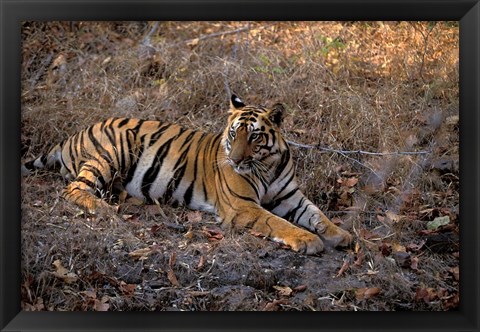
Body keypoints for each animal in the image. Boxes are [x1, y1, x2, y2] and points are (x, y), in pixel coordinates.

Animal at [22, 94, 352, 255]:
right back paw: (104, 209)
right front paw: (308, 240)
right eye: (235, 134)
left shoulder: (290, 196)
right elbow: (278, 223)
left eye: (255, 136)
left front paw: (342, 235)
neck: (266, 164)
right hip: (112, 151)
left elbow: (317, 214)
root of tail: (72, 135)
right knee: (74, 189)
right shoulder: (242, 205)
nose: (235, 159)